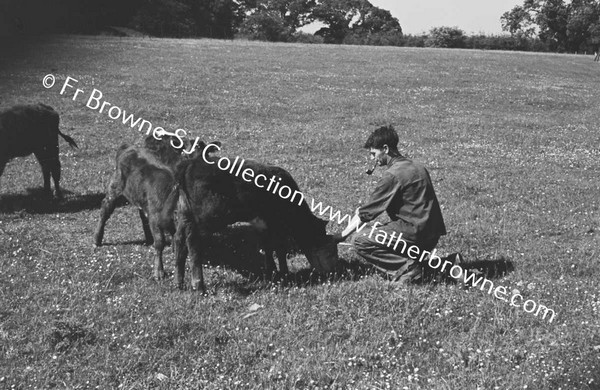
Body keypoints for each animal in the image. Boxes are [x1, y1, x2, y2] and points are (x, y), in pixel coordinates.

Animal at [175, 149, 338, 292]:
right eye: (329, 251)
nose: (332, 272)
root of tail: (189, 164)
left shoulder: (262, 224)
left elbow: (267, 247)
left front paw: (272, 273)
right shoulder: (277, 224)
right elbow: (280, 248)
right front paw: (284, 274)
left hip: (185, 214)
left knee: (179, 240)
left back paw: (179, 283)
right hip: (208, 218)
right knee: (193, 243)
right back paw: (199, 287)